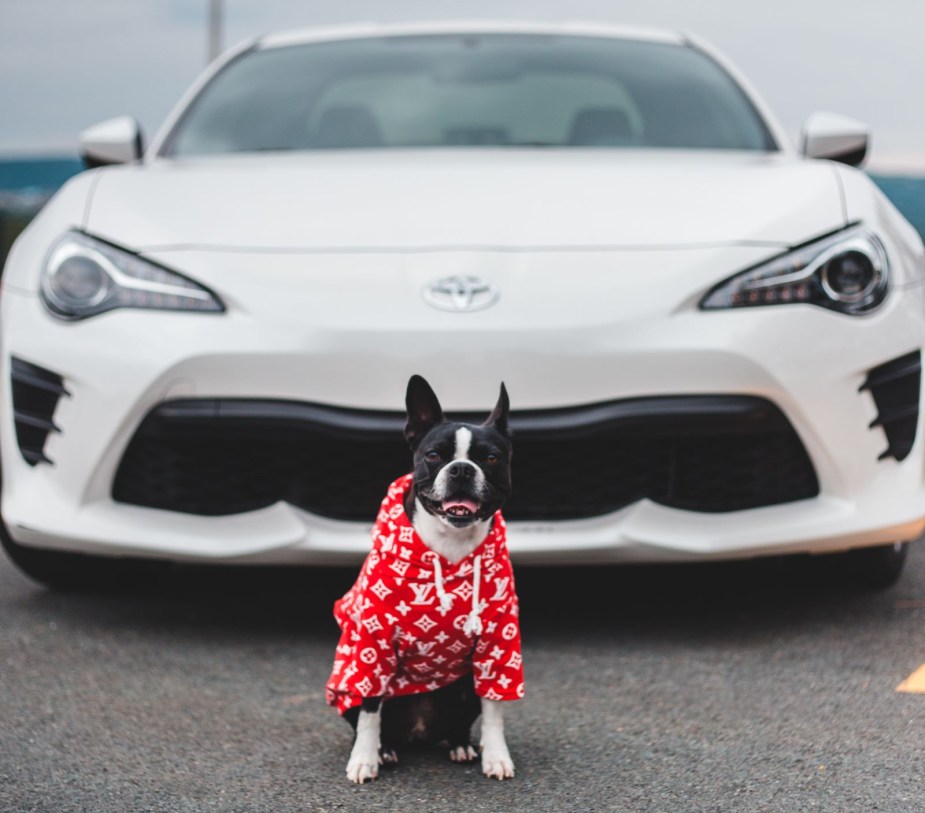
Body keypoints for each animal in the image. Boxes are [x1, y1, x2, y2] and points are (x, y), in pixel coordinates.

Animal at [326, 374, 524, 780]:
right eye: (434, 455)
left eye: (491, 458)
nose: (462, 469)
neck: (450, 546)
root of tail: (418, 733)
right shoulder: (373, 644)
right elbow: (370, 710)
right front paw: (364, 759)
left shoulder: (498, 644)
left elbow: (495, 708)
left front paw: (496, 755)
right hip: (346, 690)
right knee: (369, 715)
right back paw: (384, 749)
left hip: (464, 687)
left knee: (461, 720)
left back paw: (461, 744)